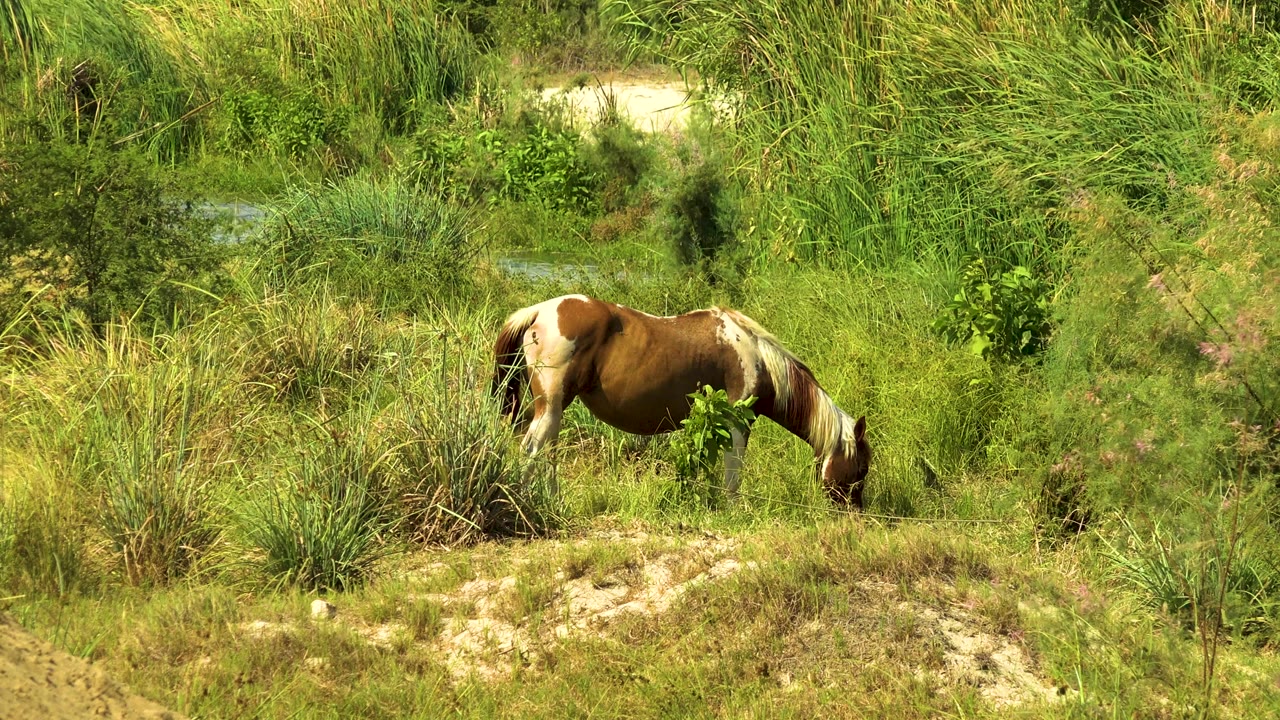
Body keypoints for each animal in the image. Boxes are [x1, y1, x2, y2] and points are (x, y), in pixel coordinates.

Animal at [490, 294, 871, 508]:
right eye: (862, 468)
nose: (855, 511)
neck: (757, 355)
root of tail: (539, 311)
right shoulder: (737, 421)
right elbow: (733, 473)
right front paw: (735, 509)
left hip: (553, 411)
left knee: (547, 453)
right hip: (551, 407)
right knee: (532, 450)